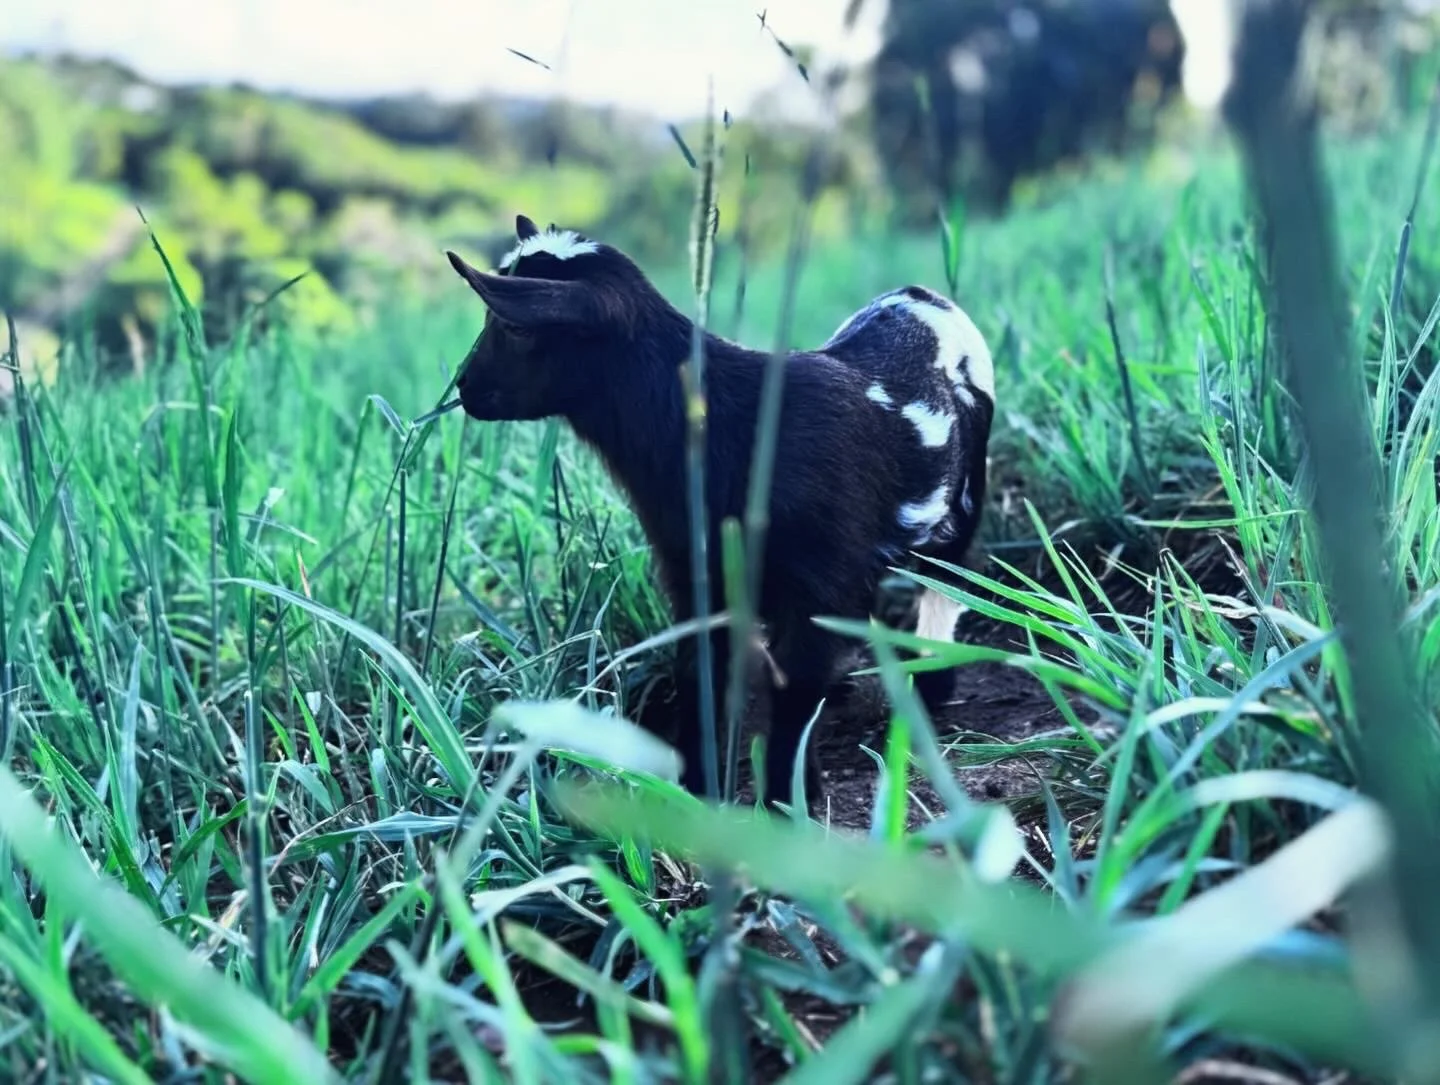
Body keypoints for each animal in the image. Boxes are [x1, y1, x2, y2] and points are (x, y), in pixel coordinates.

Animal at [445, 214, 995, 811]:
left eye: (515, 327)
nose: (465, 386)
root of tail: (919, 295)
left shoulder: (817, 574)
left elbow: (794, 687)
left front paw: (788, 800)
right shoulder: (694, 568)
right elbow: (700, 674)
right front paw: (697, 792)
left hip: (964, 497)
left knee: (947, 583)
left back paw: (931, 687)